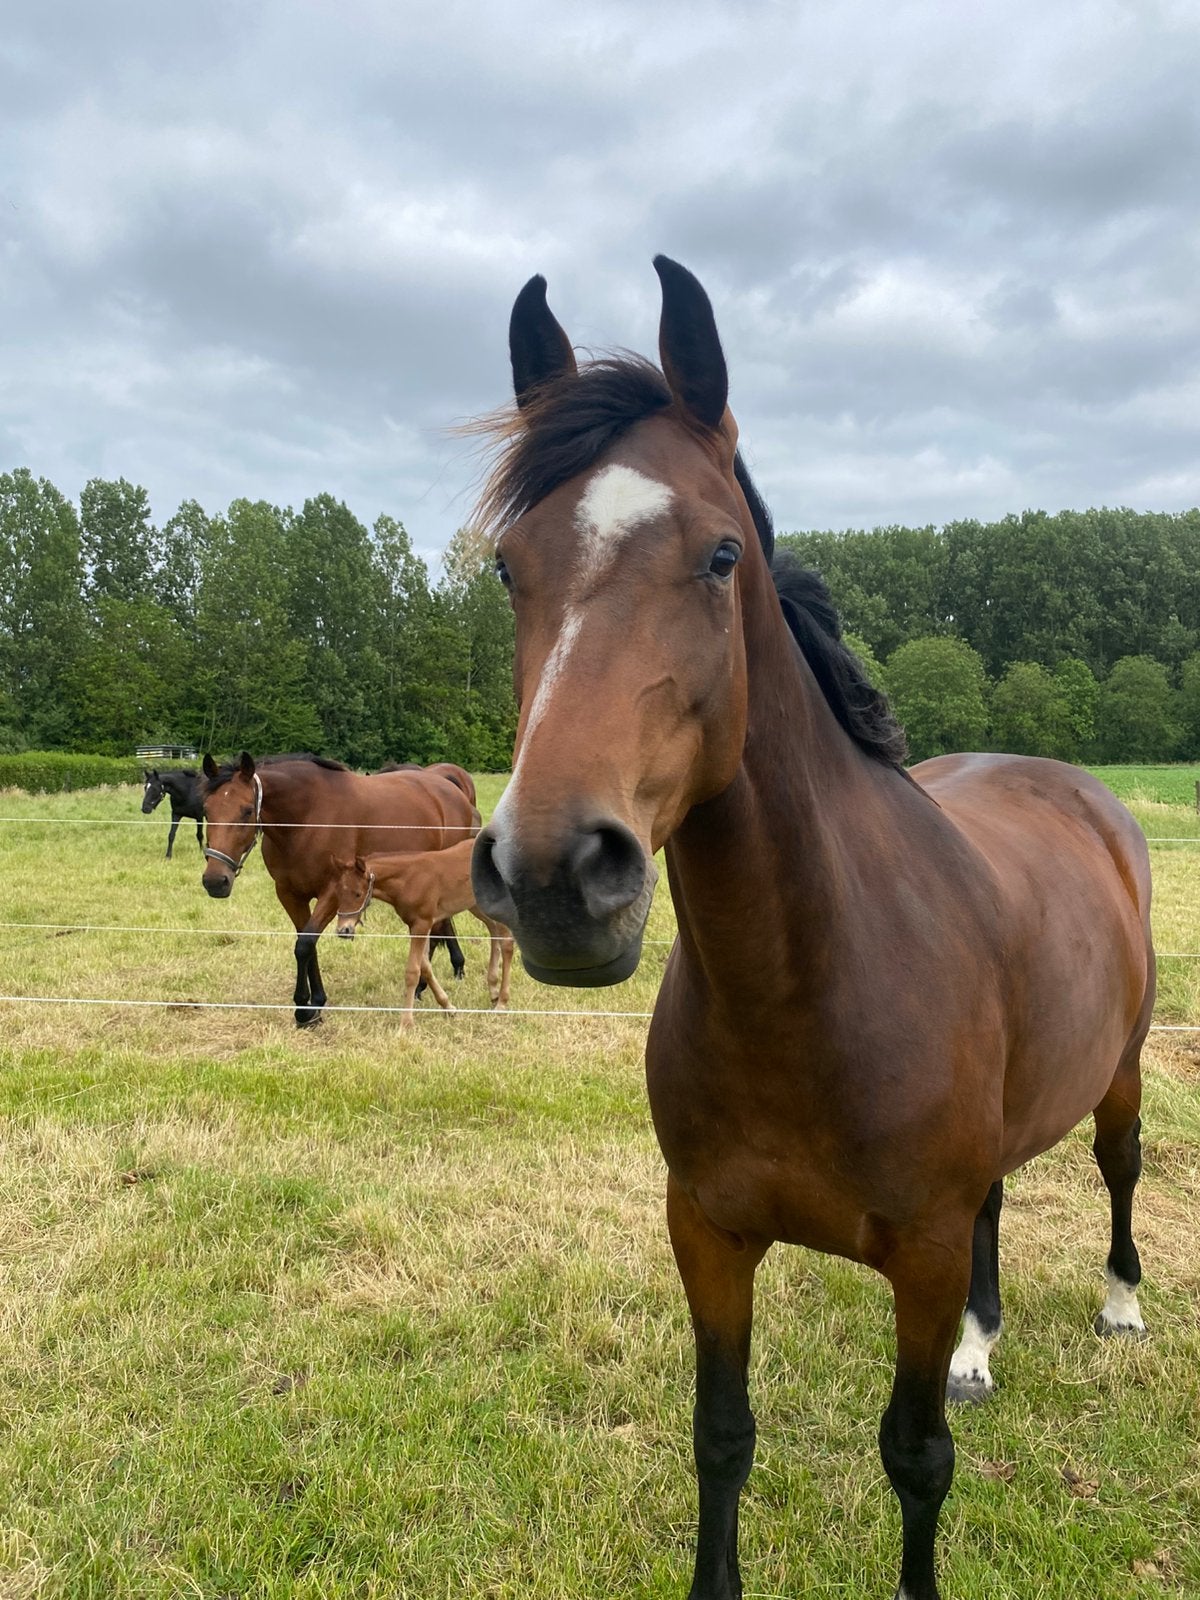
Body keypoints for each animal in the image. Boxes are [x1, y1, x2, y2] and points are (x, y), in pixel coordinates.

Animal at [201, 752, 479, 1027]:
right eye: (206, 809)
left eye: (247, 810)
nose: (215, 881)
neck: (307, 818)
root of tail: (450, 789)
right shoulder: (290, 894)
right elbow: (306, 943)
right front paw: (314, 1003)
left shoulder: (334, 892)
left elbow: (305, 944)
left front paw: (305, 1010)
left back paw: (425, 984)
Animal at [330, 842, 514, 1024]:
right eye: (338, 892)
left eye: (358, 894)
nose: (343, 930)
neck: (408, 879)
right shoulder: (416, 926)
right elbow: (425, 966)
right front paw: (449, 1007)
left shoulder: (422, 923)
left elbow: (413, 971)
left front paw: (406, 1023)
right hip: (476, 905)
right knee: (494, 931)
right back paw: (493, 992)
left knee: (507, 942)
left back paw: (502, 1003)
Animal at [468, 259, 1155, 1600]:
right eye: (511, 568)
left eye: (720, 552)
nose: (554, 875)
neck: (805, 987)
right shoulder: (707, 1233)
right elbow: (721, 1435)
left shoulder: (921, 1256)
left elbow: (917, 1460)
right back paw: (982, 1350)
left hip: (1123, 1076)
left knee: (1119, 1167)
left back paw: (1120, 1303)